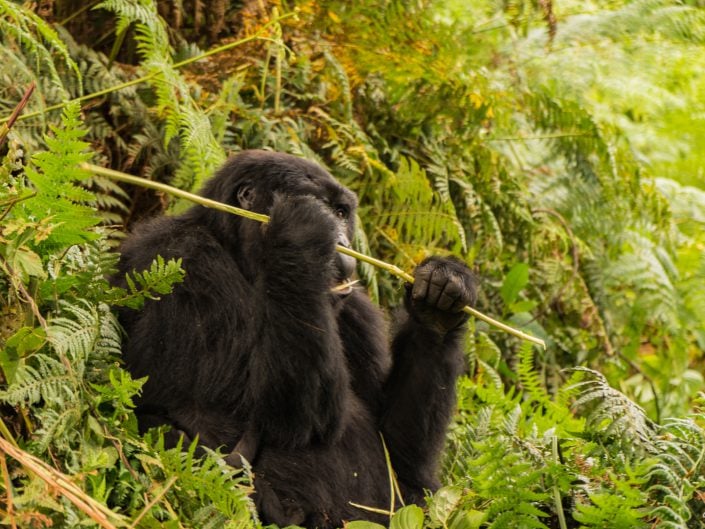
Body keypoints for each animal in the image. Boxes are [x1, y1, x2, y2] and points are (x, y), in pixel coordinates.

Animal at [117, 151, 478, 524]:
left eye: (342, 213)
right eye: (326, 210)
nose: (343, 244)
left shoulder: (356, 309)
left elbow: (400, 457)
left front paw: (438, 306)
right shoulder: (184, 257)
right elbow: (267, 421)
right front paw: (302, 233)